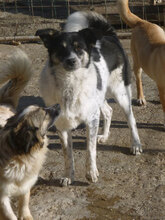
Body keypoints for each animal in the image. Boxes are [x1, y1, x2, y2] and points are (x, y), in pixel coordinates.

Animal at [0, 49, 60, 219]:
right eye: (45, 113)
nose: (57, 105)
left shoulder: (26, 183)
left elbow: (24, 202)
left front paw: (25, 215)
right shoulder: (2, 196)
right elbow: (10, 215)